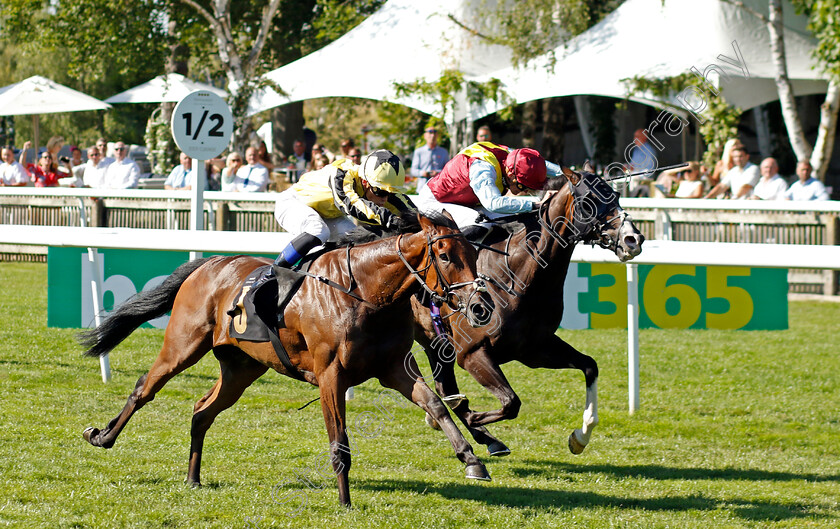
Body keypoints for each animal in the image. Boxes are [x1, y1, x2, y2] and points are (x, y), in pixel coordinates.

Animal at [79, 211, 492, 508]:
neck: (364, 292)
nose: (480, 306)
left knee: (202, 411)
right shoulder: (331, 375)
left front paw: (472, 460)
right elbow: (339, 440)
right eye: (444, 256)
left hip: (241, 368)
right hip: (182, 346)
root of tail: (209, 264)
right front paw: (345, 501)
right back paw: (101, 436)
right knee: (143, 390)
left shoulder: (394, 367)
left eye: (474, 254)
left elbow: (435, 404)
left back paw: (193, 478)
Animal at [412, 164, 644, 454]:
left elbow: (590, 366)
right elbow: (510, 402)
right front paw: (470, 416)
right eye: (589, 200)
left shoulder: (534, 349)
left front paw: (580, 437)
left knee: (445, 385)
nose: (633, 239)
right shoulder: (471, 352)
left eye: (615, 195)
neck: (516, 276)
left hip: (434, 341)